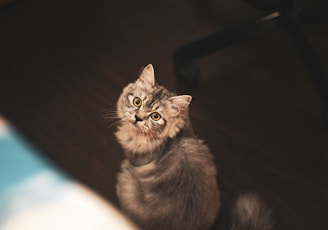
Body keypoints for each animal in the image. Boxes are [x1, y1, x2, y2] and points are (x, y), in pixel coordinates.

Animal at [114, 63, 272, 230]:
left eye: (155, 116)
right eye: (137, 102)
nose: (138, 118)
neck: (174, 136)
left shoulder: (134, 157)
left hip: (124, 181)